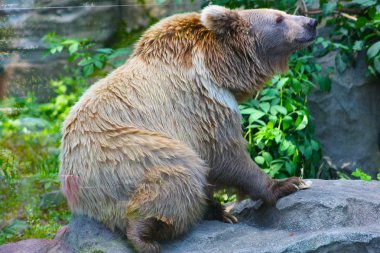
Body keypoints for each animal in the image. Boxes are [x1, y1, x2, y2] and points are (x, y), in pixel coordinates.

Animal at [58, 4, 314, 252]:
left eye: (283, 14)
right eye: (279, 19)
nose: (310, 22)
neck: (220, 68)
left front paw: (222, 211)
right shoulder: (201, 105)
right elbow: (227, 154)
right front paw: (290, 183)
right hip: (127, 154)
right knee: (180, 176)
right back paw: (145, 234)